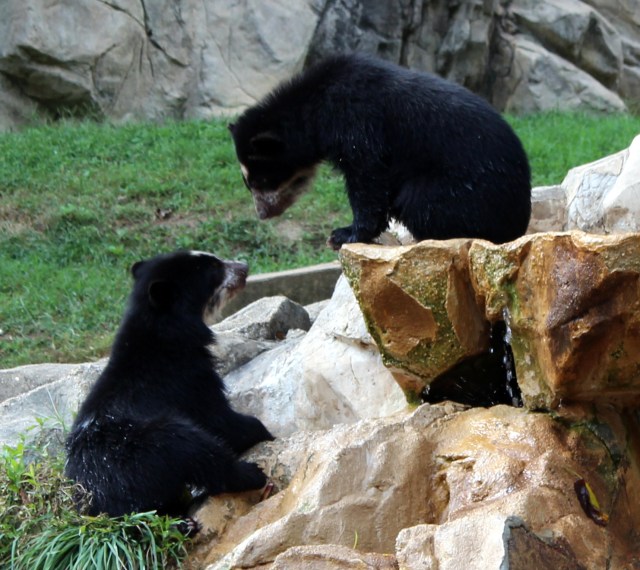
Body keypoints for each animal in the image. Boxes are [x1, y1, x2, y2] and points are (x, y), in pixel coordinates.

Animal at [65, 250, 273, 521]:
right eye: (214, 268)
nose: (244, 267)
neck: (163, 330)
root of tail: (96, 504)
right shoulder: (189, 379)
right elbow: (219, 419)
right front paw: (263, 432)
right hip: (149, 446)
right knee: (196, 449)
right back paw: (252, 474)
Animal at [228, 53, 531, 250]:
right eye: (248, 183)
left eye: (262, 180)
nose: (262, 213)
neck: (314, 108)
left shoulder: (357, 120)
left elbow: (367, 174)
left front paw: (343, 234)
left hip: (466, 190)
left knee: (419, 201)